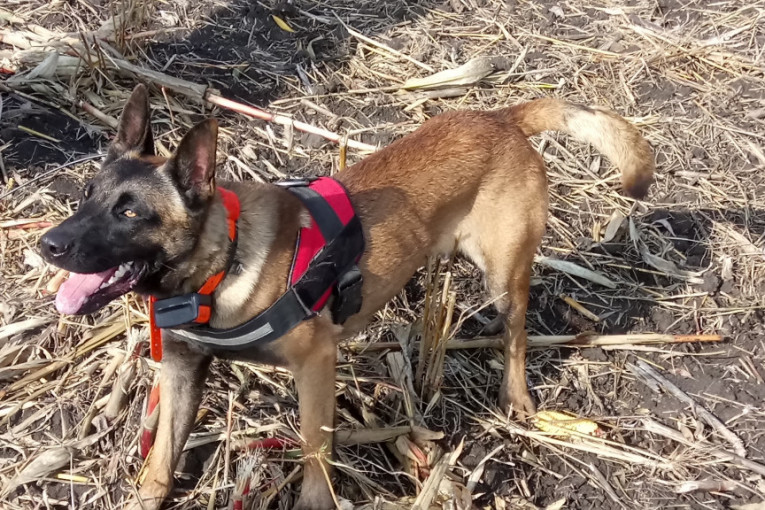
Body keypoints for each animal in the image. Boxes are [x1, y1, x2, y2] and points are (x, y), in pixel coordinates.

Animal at [40, 84, 653, 509]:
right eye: (87, 195)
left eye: (130, 212)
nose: (49, 245)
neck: (219, 265)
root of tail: (499, 118)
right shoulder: (182, 371)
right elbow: (161, 459)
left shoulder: (315, 365)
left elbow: (315, 452)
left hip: (505, 278)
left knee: (518, 335)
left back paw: (517, 397)